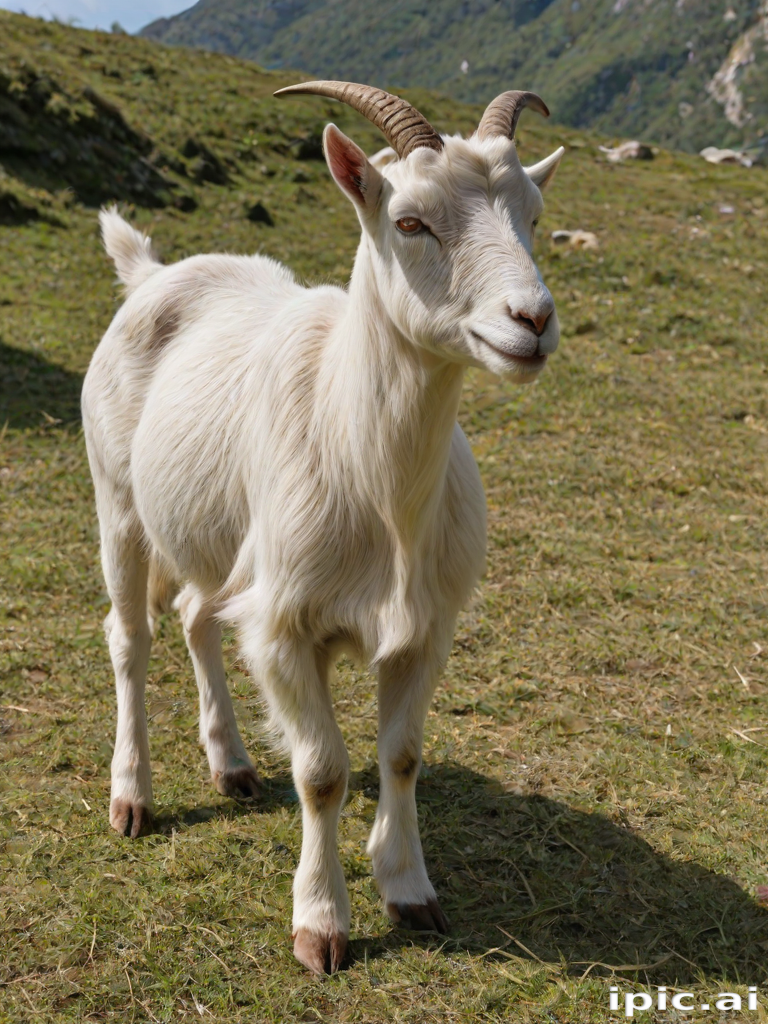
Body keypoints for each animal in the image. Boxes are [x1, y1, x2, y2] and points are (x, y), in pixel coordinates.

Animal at [82, 81, 564, 975]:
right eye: (409, 221)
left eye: (536, 215)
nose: (533, 319)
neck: (380, 487)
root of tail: (154, 271)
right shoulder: (283, 626)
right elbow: (323, 772)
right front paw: (321, 924)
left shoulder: (425, 629)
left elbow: (401, 755)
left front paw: (408, 890)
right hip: (118, 501)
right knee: (130, 637)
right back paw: (132, 797)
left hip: (220, 541)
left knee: (197, 615)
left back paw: (232, 764)